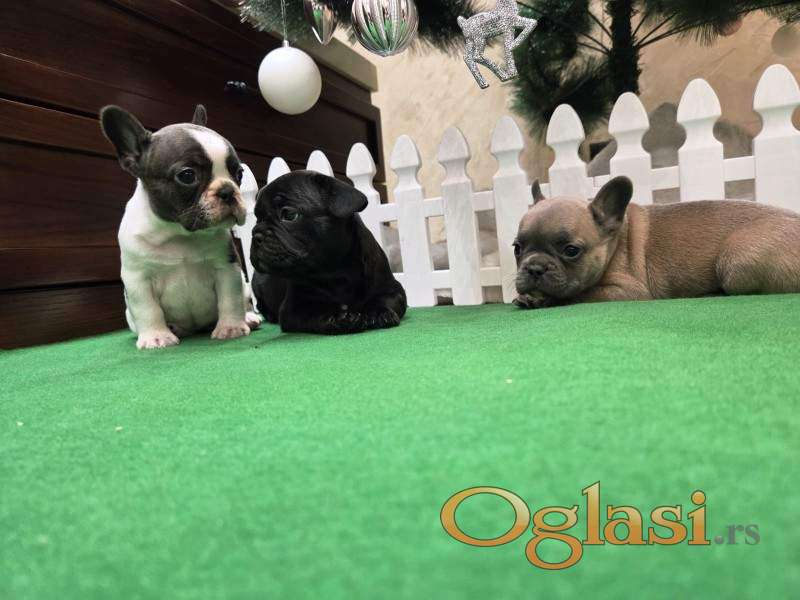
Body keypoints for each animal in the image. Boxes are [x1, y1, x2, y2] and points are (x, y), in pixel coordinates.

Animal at [100, 105, 260, 349]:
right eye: (187, 175)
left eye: (239, 173)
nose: (228, 191)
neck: (178, 234)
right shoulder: (138, 278)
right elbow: (147, 309)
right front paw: (156, 336)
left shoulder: (225, 268)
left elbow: (229, 300)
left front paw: (230, 327)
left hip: (244, 285)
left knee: (245, 301)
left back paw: (249, 318)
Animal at [250, 171, 407, 334]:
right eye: (257, 219)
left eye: (290, 215)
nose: (256, 234)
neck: (335, 272)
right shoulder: (294, 308)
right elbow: (313, 313)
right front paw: (338, 317)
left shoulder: (392, 289)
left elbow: (386, 299)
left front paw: (378, 311)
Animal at [513, 176, 800, 309]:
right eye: (517, 248)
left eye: (571, 251)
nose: (535, 268)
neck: (614, 243)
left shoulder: (628, 290)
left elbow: (579, 294)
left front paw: (541, 299)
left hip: (735, 260)